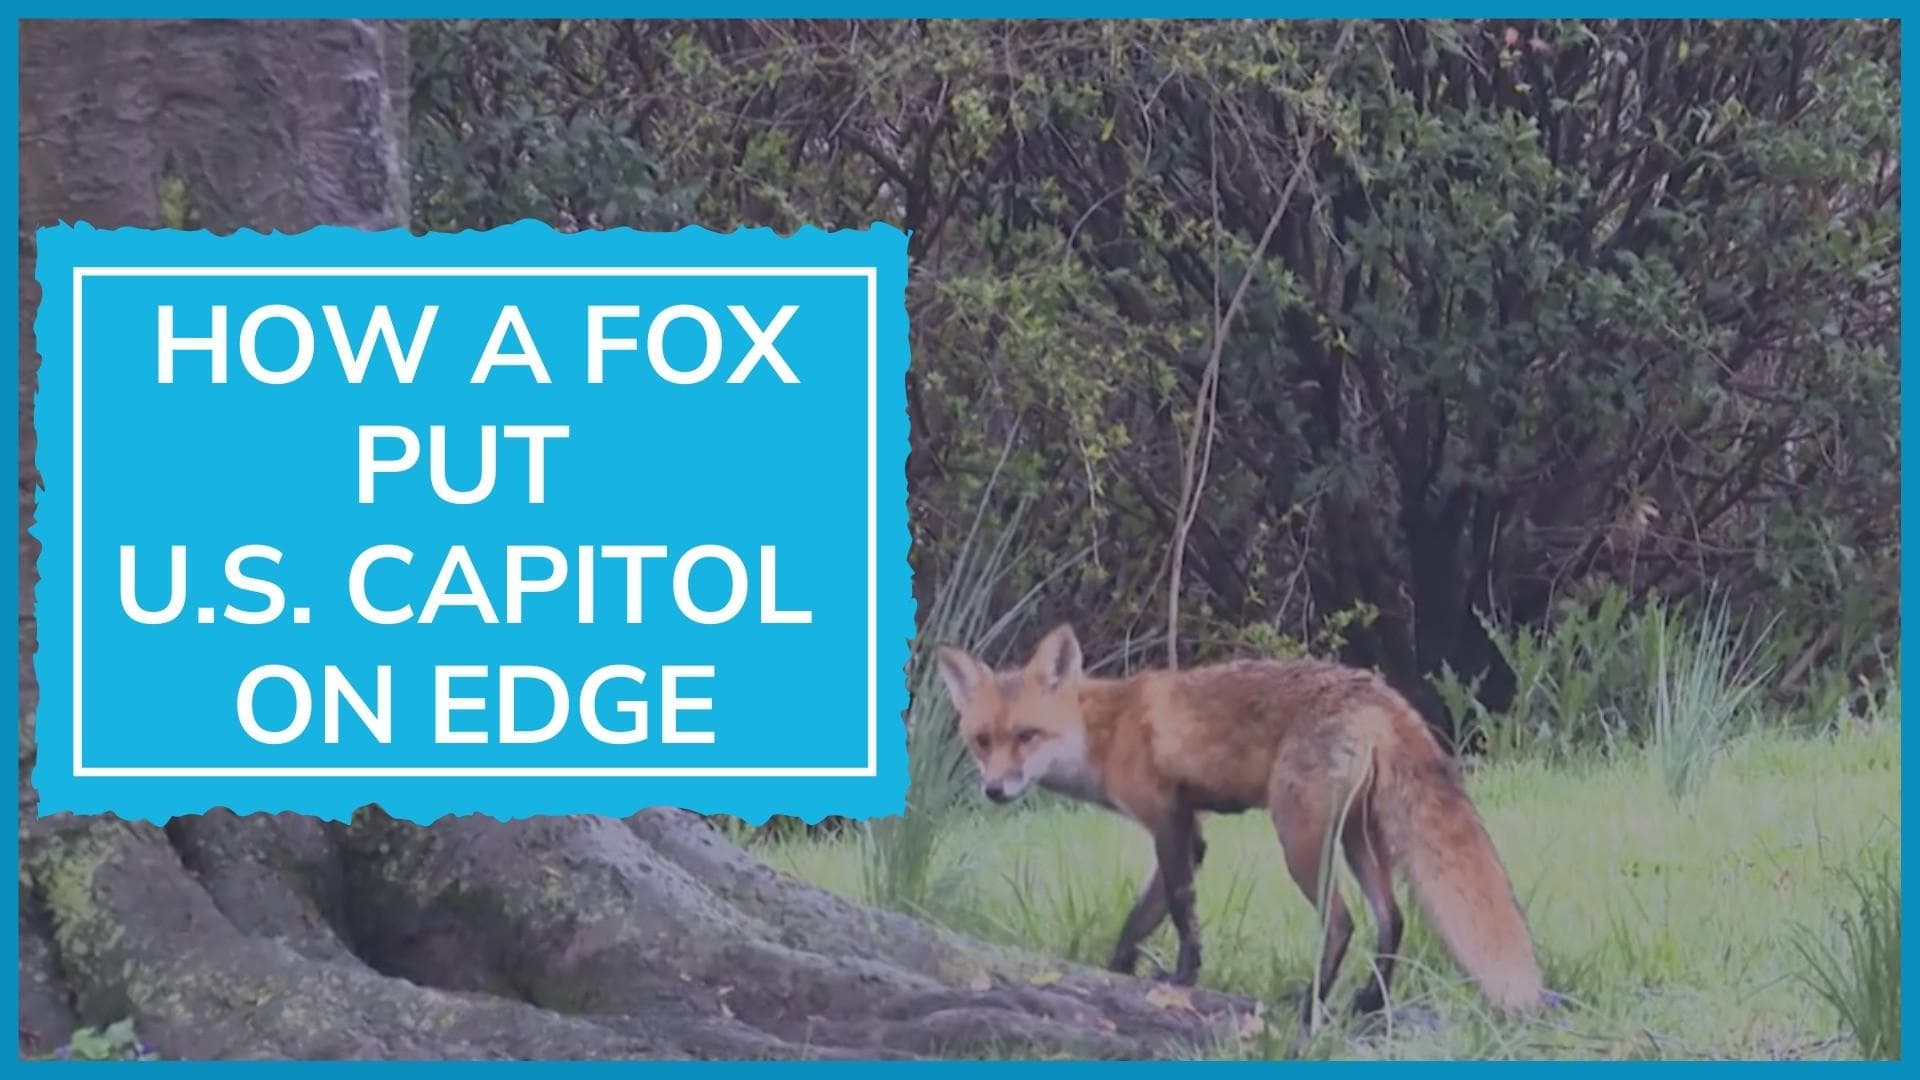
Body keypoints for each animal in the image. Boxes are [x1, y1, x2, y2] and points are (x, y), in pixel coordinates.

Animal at [936, 623, 1544, 1026]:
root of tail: (1376, 689)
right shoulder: (1192, 831)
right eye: (982, 741)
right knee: (1391, 919)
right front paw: (1120, 972)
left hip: (1298, 839)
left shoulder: (1170, 820)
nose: (994, 790)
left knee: (1342, 922)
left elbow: (1181, 911)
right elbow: (1140, 918)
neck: (1106, 732)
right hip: (1355, 839)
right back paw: (1369, 1003)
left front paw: (1180, 981)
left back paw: (1311, 1003)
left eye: (1027, 736)